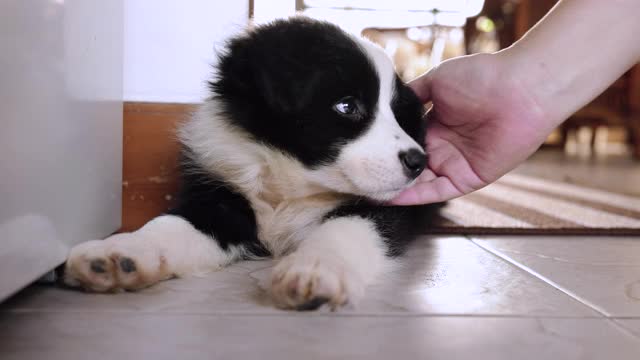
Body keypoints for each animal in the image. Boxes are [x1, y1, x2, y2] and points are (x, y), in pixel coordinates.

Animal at [65, 16, 440, 310]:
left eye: (400, 117)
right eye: (347, 106)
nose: (418, 162)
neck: (290, 185)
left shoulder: (387, 208)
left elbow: (345, 227)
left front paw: (316, 269)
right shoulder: (217, 197)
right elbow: (170, 225)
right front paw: (118, 254)